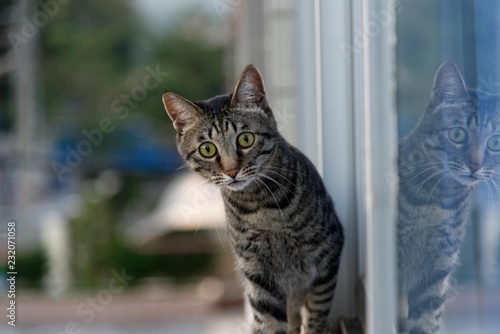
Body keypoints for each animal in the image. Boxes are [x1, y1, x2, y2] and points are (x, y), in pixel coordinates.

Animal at [163, 64, 344, 332]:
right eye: (207, 149)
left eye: (245, 138)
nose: (231, 171)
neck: (260, 206)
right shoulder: (259, 276)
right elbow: (268, 323)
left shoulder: (327, 258)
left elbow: (316, 317)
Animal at [398, 61, 500, 332]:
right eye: (457, 134)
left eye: (496, 142)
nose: (475, 165)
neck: (433, 203)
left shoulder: (434, 275)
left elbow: (425, 323)